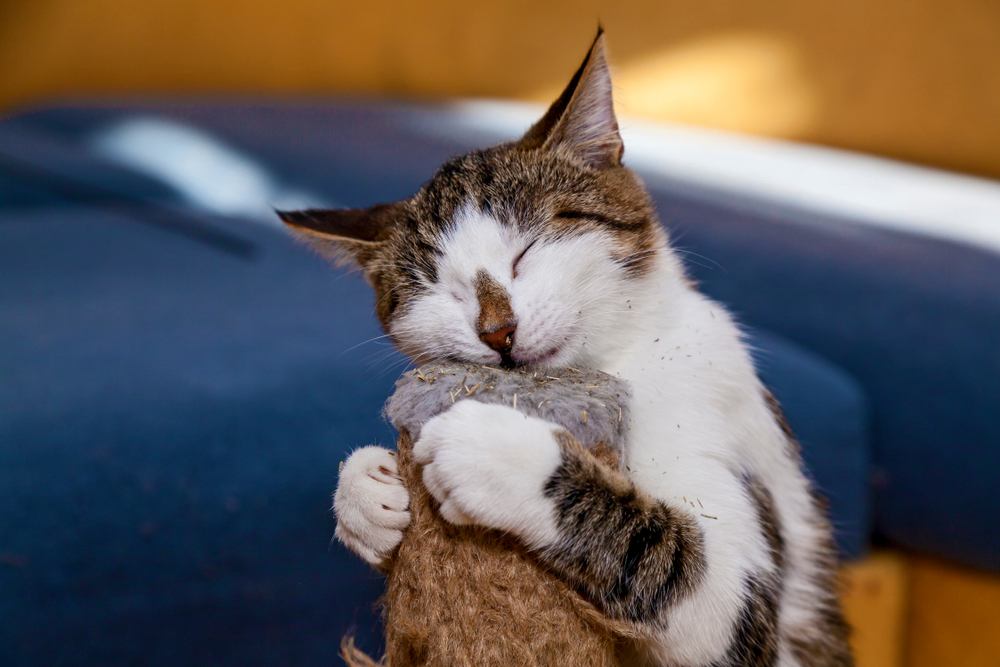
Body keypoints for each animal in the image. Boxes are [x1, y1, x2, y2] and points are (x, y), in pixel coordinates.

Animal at [280, 28, 852, 667]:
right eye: (437, 288)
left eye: (527, 250)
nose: (497, 331)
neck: (622, 361)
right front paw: (364, 490)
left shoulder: (747, 592)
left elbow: (675, 561)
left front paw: (496, 451)